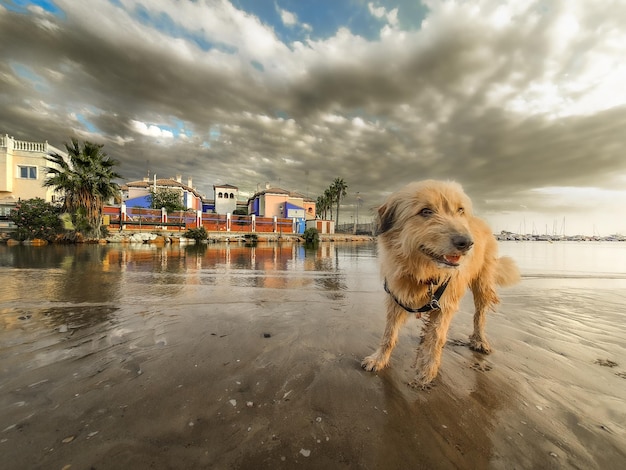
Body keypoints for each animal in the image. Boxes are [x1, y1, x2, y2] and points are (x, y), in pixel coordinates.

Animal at [358, 178, 520, 388]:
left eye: (460, 210)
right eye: (426, 211)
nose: (466, 243)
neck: (424, 272)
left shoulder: (444, 304)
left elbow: (436, 338)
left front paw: (427, 370)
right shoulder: (397, 298)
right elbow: (389, 335)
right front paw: (379, 359)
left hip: (482, 283)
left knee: (479, 315)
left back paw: (479, 340)